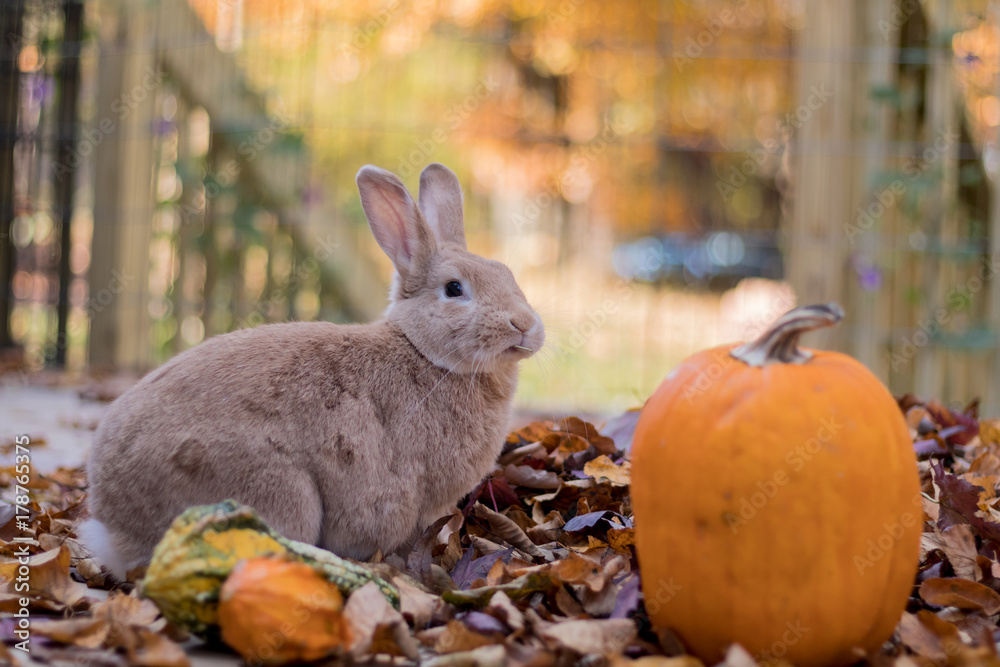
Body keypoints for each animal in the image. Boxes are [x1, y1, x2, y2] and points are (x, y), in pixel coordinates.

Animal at [79, 163, 545, 580]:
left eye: (507, 274)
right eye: (454, 289)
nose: (524, 324)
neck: (426, 353)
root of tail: (114, 525)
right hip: (282, 494)